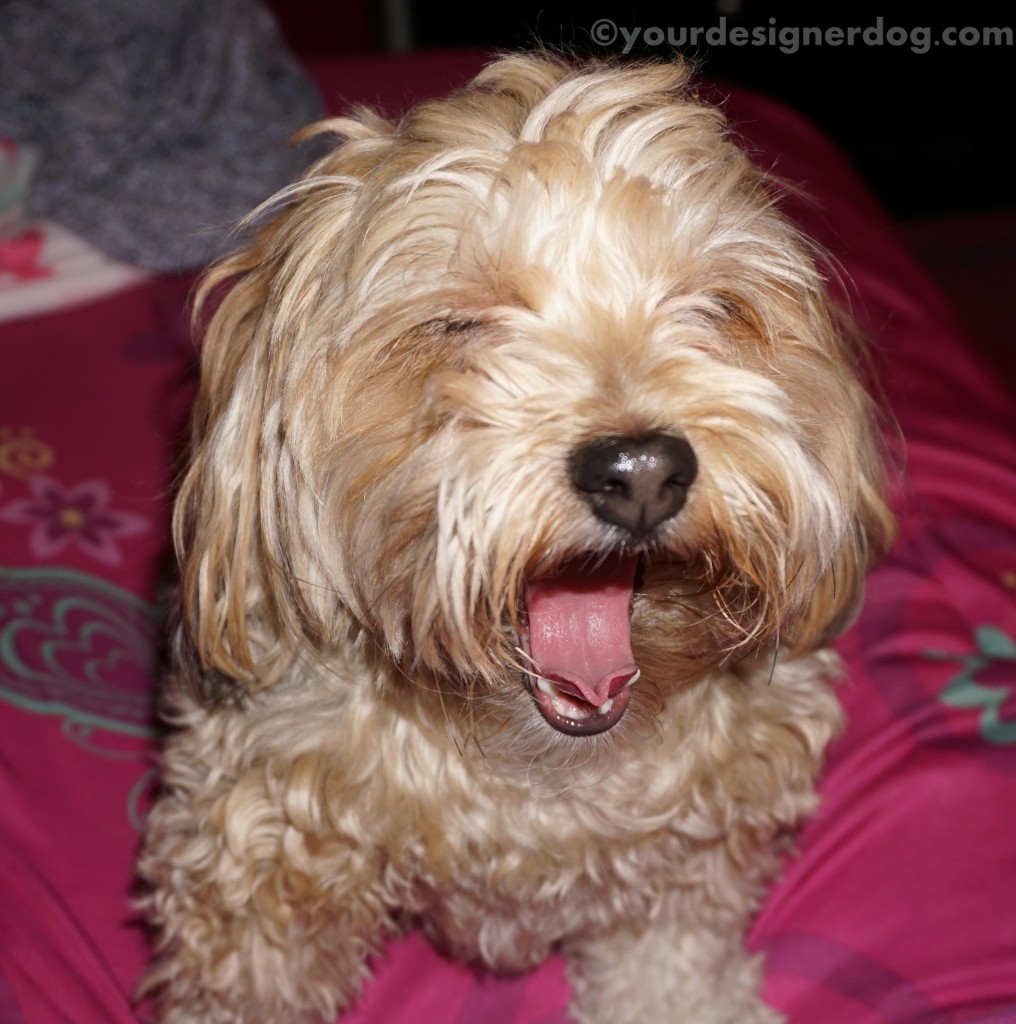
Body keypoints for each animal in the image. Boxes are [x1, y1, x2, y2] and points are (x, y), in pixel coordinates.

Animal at [139, 56, 893, 1024]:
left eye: (712, 308)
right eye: (460, 324)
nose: (641, 470)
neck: (537, 781)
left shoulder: (690, 855)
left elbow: (671, 966)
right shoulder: (259, 853)